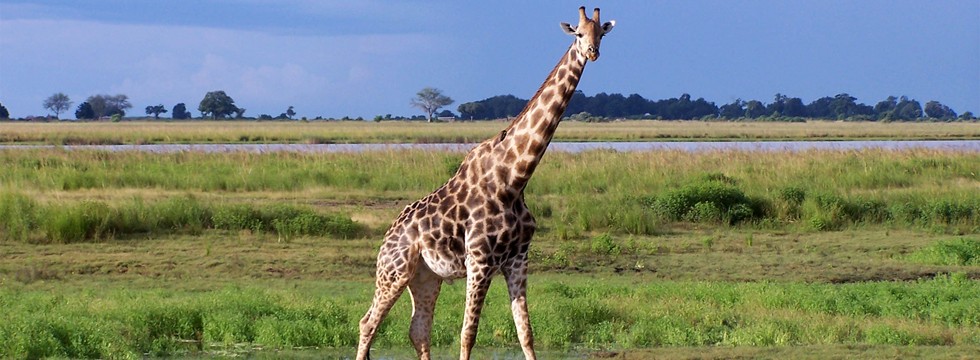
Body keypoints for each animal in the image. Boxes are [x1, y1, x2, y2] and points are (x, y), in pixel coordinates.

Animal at [356, 6, 616, 360]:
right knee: (368, 323)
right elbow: (468, 334)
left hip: (425, 276)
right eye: (578, 33)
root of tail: (388, 235)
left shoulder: (518, 259)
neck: (514, 179)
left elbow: (526, 333)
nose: (592, 52)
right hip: (393, 270)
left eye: (600, 33)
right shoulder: (479, 260)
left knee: (419, 330)